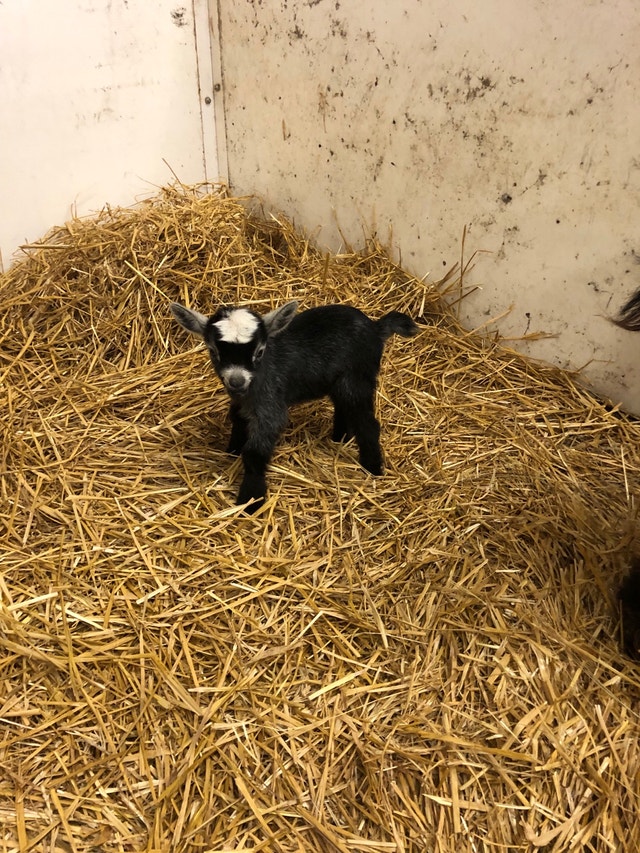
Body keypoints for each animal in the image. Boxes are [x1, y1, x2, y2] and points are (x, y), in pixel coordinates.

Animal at [170, 300, 418, 512]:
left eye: (259, 352)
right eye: (214, 351)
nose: (237, 381)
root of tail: (376, 328)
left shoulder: (271, 408)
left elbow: (254, 453)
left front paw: (251, 502)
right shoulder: (242, 403)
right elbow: (238, 420)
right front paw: (232, 450)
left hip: (357, 378)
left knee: (368, 423)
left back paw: (372, 467)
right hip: (340, 382)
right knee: (344, 407)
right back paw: (340, 437)